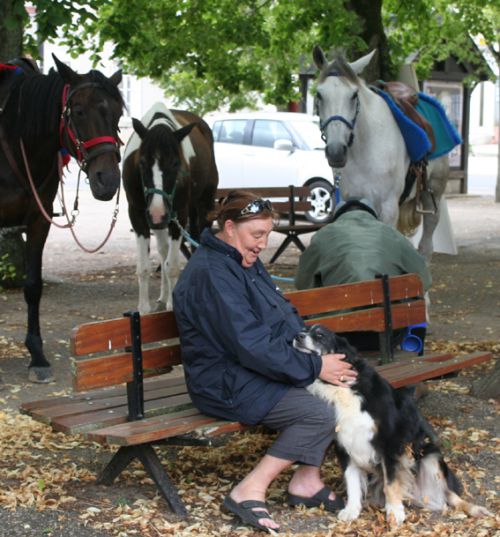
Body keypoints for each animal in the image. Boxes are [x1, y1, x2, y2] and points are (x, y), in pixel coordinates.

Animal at [0, 55, 124, 382]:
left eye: (118, 112)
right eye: (78, 112)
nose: (108, 180)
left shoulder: (39, 222)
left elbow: (33, 287)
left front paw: (37, 355)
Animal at [122, 102, 218, 312]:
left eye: (175, 163)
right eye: (142, 162)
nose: (157, 212)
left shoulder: (179, 215)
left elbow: (172, 266)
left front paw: (173, 306)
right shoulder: (138, 215)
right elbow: (144, 267)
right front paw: (144, 309)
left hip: (203, 205)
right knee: (163, 251)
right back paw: (164, 296)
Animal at [292, 322, 492, 524]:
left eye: (320, 335)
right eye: (304, 330)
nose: (297, 336)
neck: (343, 388)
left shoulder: (390, 443)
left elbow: (390, 482)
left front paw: (395, 512)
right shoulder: (343, 444)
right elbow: (352, 481)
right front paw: (352, 510)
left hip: (430, 454)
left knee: (449, 494)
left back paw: (475, 509)